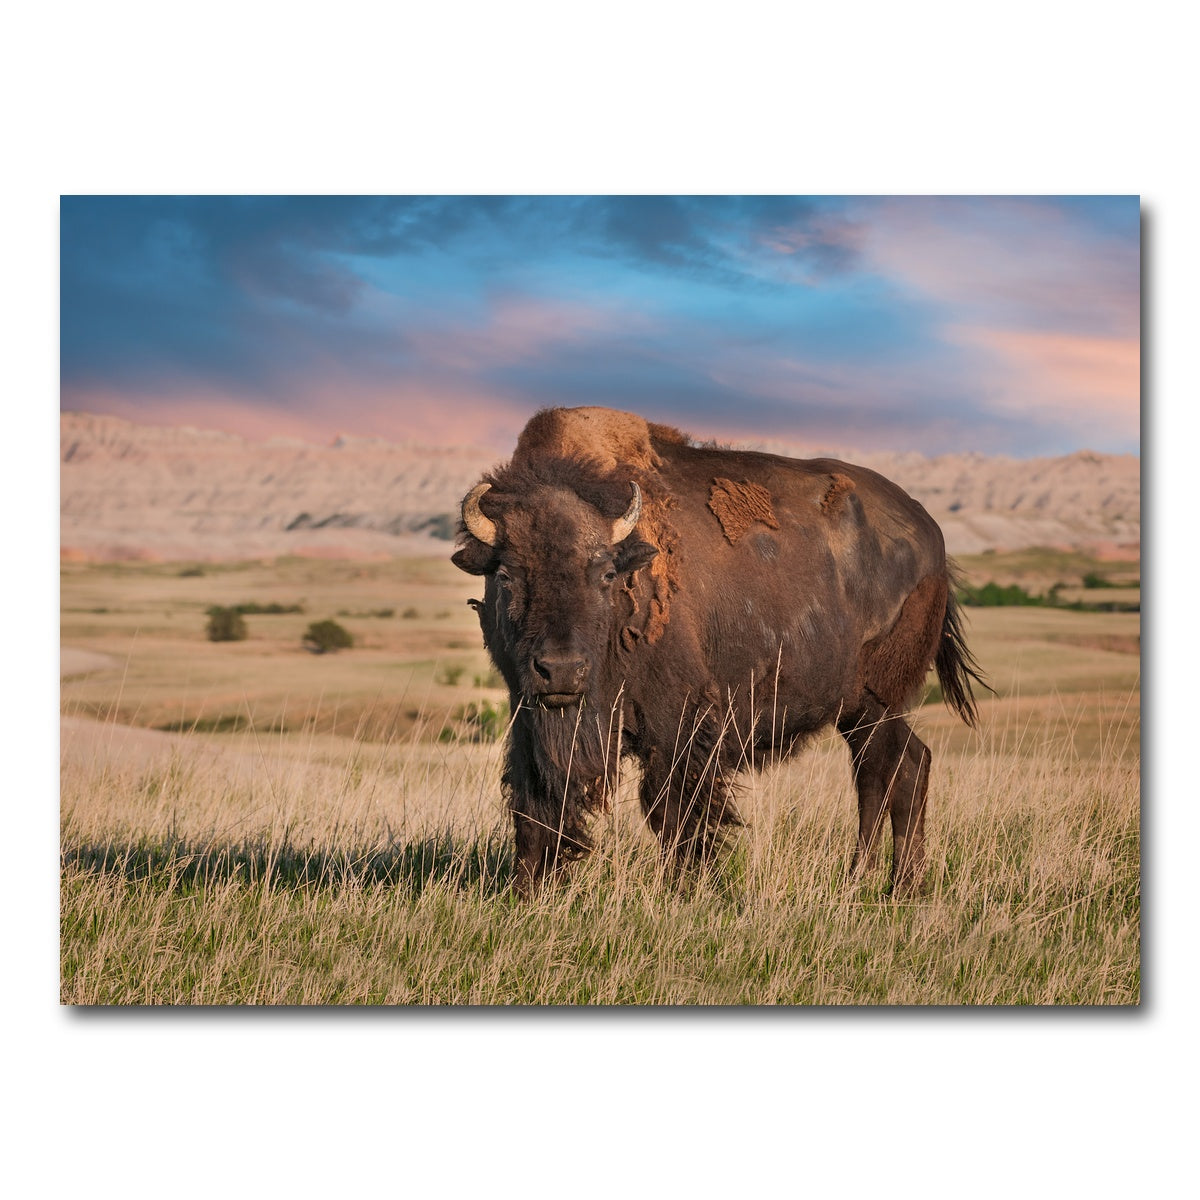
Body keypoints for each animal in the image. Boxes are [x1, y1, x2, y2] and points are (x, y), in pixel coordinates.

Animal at [452, 406, 987, 896]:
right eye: (506, 574)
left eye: (605, 574)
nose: (561, 671)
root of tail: (933, 539)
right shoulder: (527, 715)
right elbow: (534, 800)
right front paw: (528, 890)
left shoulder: (678, 722)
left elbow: (674, 809)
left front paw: (687, 888)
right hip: (861, 712)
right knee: (900, 768)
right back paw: (879, 883)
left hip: (877, 704)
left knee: (888, 772)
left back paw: (891, 885)